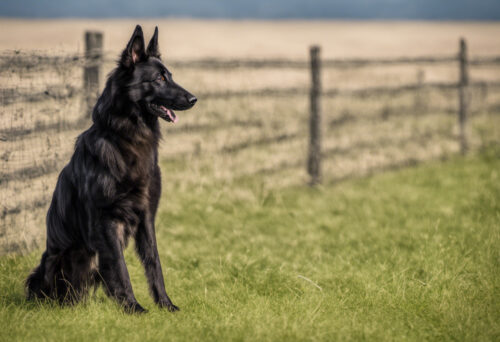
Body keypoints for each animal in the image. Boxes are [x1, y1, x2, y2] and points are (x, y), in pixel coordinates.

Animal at [25, 24, 195, 312]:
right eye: (159, 79)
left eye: (170, 76)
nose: (194, 98)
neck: (128, 138)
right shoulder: (107, 220)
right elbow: (119, 266)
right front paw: (134, 308)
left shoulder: (146, 215)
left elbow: (154, 263)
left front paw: (165, 305)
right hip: (55, 260)